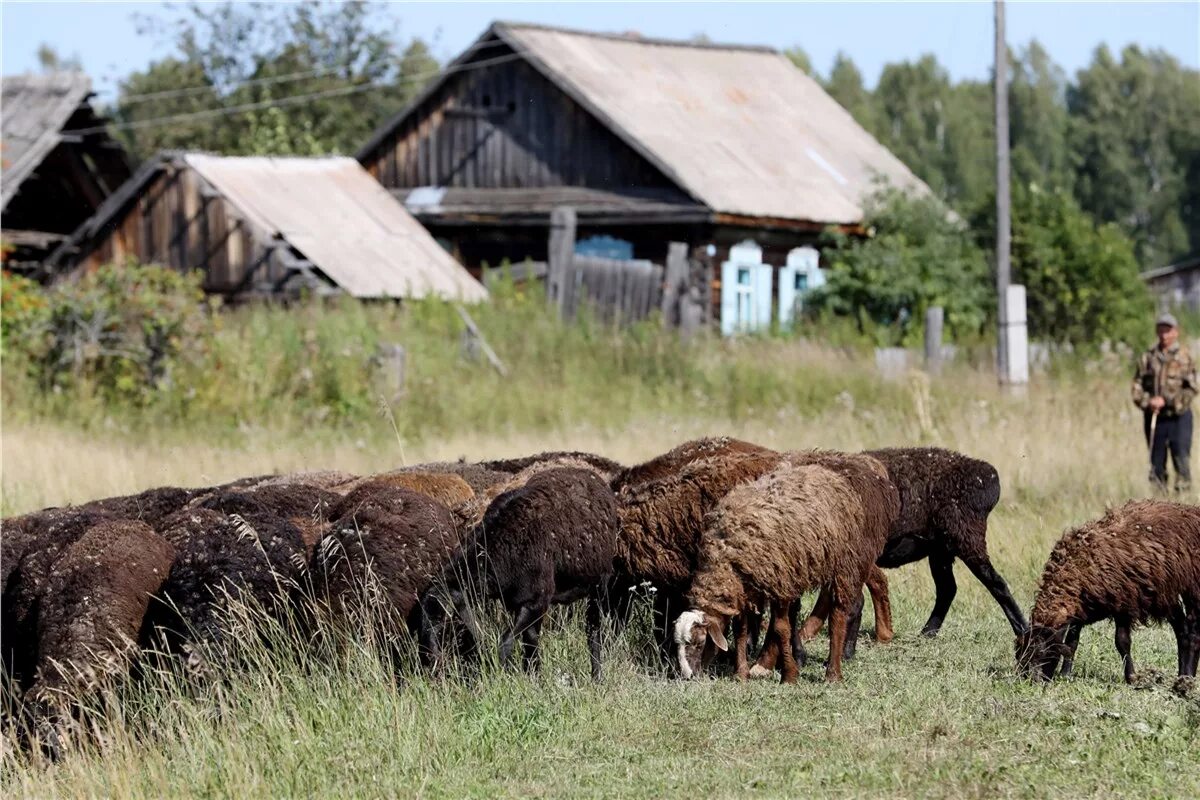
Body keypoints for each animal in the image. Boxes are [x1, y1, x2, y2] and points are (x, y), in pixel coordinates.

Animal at [427, 470, 619, 681]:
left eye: (442, 619)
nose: (434, 665)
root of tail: (593, 477)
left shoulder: (534, 602)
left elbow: (505, 643)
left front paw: (503, 677)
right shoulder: (523, 603)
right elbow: (531, 642)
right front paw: (534, 679)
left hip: (599, 586)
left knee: (593, 631)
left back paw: (597, 676)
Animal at [681, 453, 897, 686]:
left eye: (698, 642)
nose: (687, 677)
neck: (726, 554)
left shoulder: (780, 582)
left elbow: (780, 628)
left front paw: (789, 675)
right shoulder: (745, 588)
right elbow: (741, 629)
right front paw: (741, 674)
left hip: (844, 563)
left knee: (837, 617)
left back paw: (832, 673)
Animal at [796, 448, 1022, 642]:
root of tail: (988, 475)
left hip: (967, 539)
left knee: (996, 583)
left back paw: (1022, 629)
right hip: (941, 550)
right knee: (948, 589)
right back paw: (927, 633)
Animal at [1012, 501, 1200, 681]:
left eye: (1042, 652)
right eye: (1020, 654)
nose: (1031, 680)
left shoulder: (1124, 602)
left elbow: (1122, 641)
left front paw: (1131, 677)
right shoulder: (1081, 607)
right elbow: (1072, 641)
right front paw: (1065, 674)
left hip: (1190, 588)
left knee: (1192, 632)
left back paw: (1187, 677)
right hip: (1167, 595)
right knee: (1183, 630)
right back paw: (1184, 676)